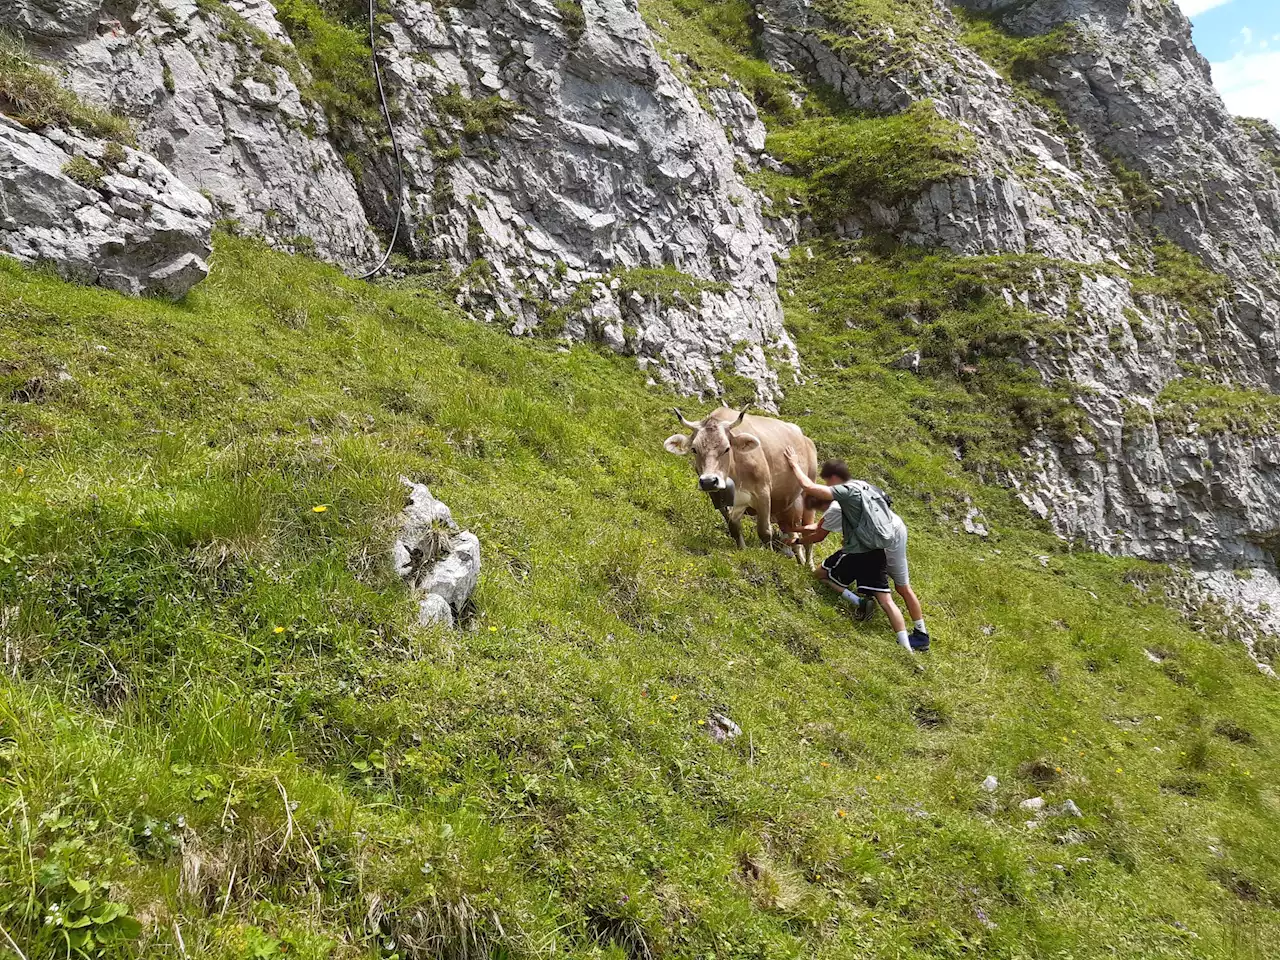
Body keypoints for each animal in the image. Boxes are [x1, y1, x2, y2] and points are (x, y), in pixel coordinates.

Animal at [660, 407, 819, 570]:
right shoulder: (721, 499)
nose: (709, 481)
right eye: (694, 449)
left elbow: (764, 531)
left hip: (808, 494)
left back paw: (809, 567)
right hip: (786, 507)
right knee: (793, 536)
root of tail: (805, 439)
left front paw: (769, 557)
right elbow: (734, 527)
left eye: (727, 448)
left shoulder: (763, 493)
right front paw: (742, 550)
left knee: (808, 536)